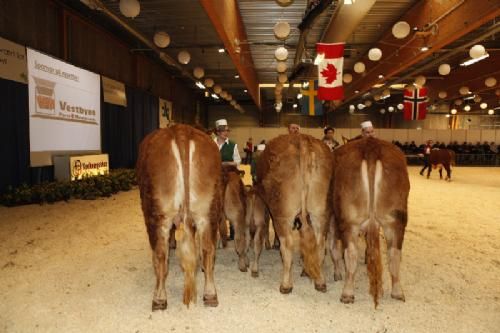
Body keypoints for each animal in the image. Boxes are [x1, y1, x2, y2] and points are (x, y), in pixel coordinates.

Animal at [137, 124, 223, 308]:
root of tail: (182, 130)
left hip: (157, 214)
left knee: (160, 254)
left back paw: (159, 298)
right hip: (208, 211)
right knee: (208, 249)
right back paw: (210, 294)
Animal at [256, 134, 334, 292]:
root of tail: (303, 140)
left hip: (283, 213)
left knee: (287, 246)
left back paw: (286, 285)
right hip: (321, 213)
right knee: (319, 244)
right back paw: (319, 281)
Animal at [328, 136, 410, 306]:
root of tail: (371, 147)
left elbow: (334, 248)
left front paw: (337, 273)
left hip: (350, 221)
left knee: (350, 254)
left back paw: (347, 293)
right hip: (396, 220)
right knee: (394, 254)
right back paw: (397, 292)